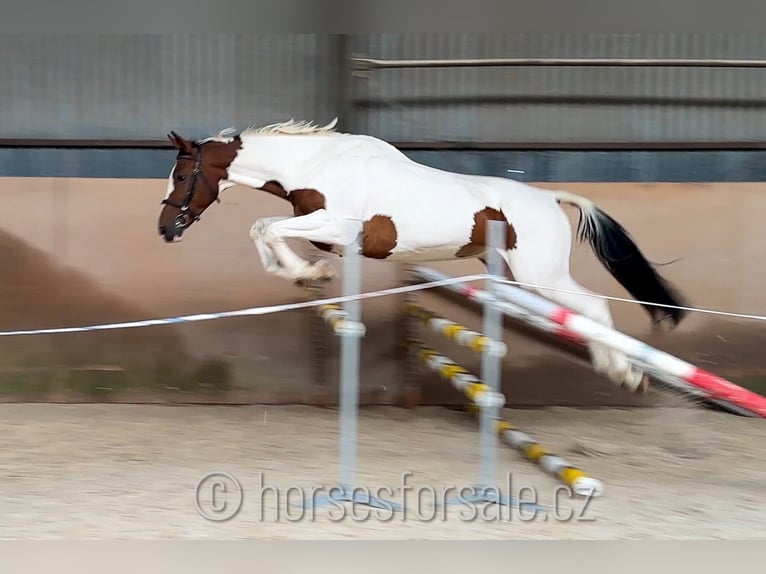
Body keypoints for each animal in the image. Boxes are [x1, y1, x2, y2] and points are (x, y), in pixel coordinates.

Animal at [158, 119, 688, 394]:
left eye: (182, 176)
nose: (166, 230)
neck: (317, 165)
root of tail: (549, 198)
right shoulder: (324, 230)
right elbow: (265, 229)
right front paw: (306, 274)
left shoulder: (336, 227)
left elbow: (267, 228)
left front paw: (310, 272)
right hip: (515, 275)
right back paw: (623, 371)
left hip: (541, 273)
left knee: (593, 309)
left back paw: (624, 373)